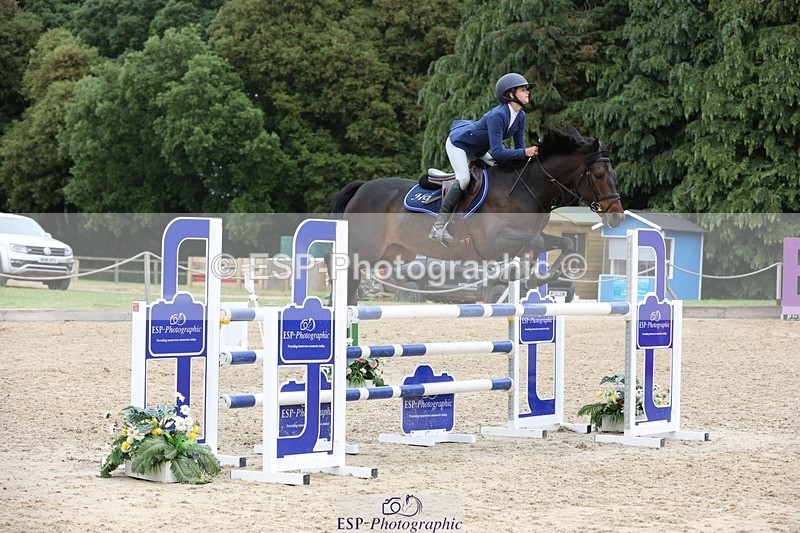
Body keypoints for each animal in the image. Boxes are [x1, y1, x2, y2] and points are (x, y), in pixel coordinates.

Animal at [329, 126, 625, 305]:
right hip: (364, 248)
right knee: (342, 267)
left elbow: (566, 242)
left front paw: (545, 276)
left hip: (394, 252)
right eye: (599, 175)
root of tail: (362, 188)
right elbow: (537, 244)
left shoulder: (529, 234)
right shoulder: (495, 241)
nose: (617, 217)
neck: (526, 187)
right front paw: (527, 275)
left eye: (614, 174)